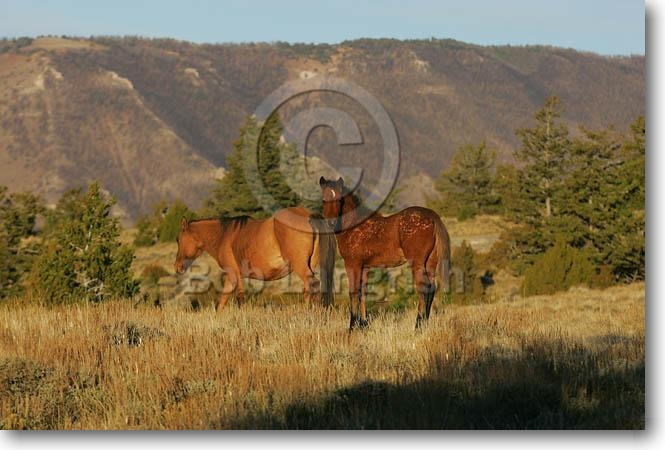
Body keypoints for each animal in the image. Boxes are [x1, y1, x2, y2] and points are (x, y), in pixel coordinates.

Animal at [174, 207, 336, 309]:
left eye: (178, 240)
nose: (178, 266)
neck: (223, 235)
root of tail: (308, 215)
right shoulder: (232, 277)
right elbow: (223, 300)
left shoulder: (234, 274)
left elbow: (239, 297)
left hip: (301, 266)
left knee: (313, 285)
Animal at [319, 177, 451, 330]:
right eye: (323, 200)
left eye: (340, 200)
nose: (331, 223)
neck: (355, 226)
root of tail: (432, 216)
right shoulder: (365, 267)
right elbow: (363, 293)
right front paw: (363, 324)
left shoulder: (353, 264)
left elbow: (353, 292)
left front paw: (352, 326)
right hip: (430, 262)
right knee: (431, 288)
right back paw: (425, 324)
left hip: (417, 262)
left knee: (423, 288)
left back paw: (418, 326)